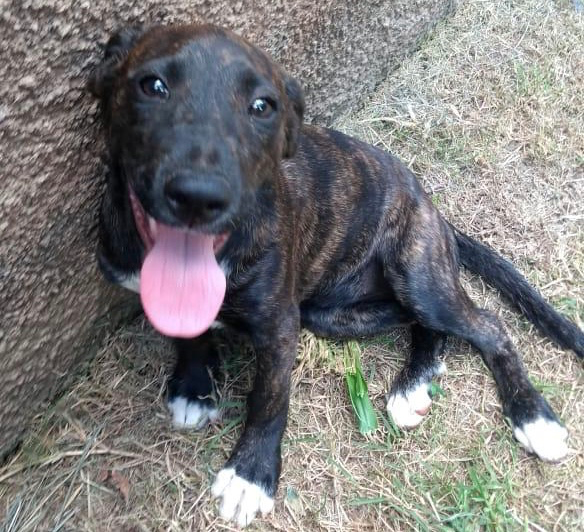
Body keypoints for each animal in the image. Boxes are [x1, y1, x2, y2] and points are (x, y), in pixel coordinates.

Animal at [90, 23, 584, 528]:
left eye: (262, 107)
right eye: (153, 86)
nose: (199, 195)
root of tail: (435, 210)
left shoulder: (280, 327)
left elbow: (269, 399)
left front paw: (251, 475)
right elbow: (187, 333)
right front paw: (193, 386)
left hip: (417, 275)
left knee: (488, 325)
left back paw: (532, 417)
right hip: (332, 312)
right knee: (421, 324)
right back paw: (413, 383)